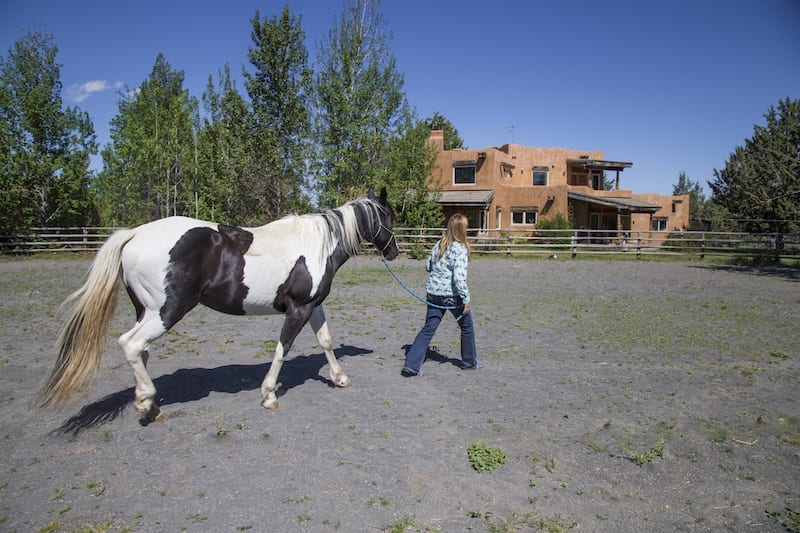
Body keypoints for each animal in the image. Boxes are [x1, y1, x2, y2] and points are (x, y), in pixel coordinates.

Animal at [37, 187, 400, 424]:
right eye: (389, 217)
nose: (394, 252)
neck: (319, 245)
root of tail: (135, 235)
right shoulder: (298, 309)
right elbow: (282, 349)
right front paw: (269, 395)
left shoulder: (313, 305)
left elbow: (325, 340)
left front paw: (339, 378)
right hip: (165, 312)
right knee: (131, 344)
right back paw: (146, 404)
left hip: (147, 312)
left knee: (141, 351)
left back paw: (148, 404)